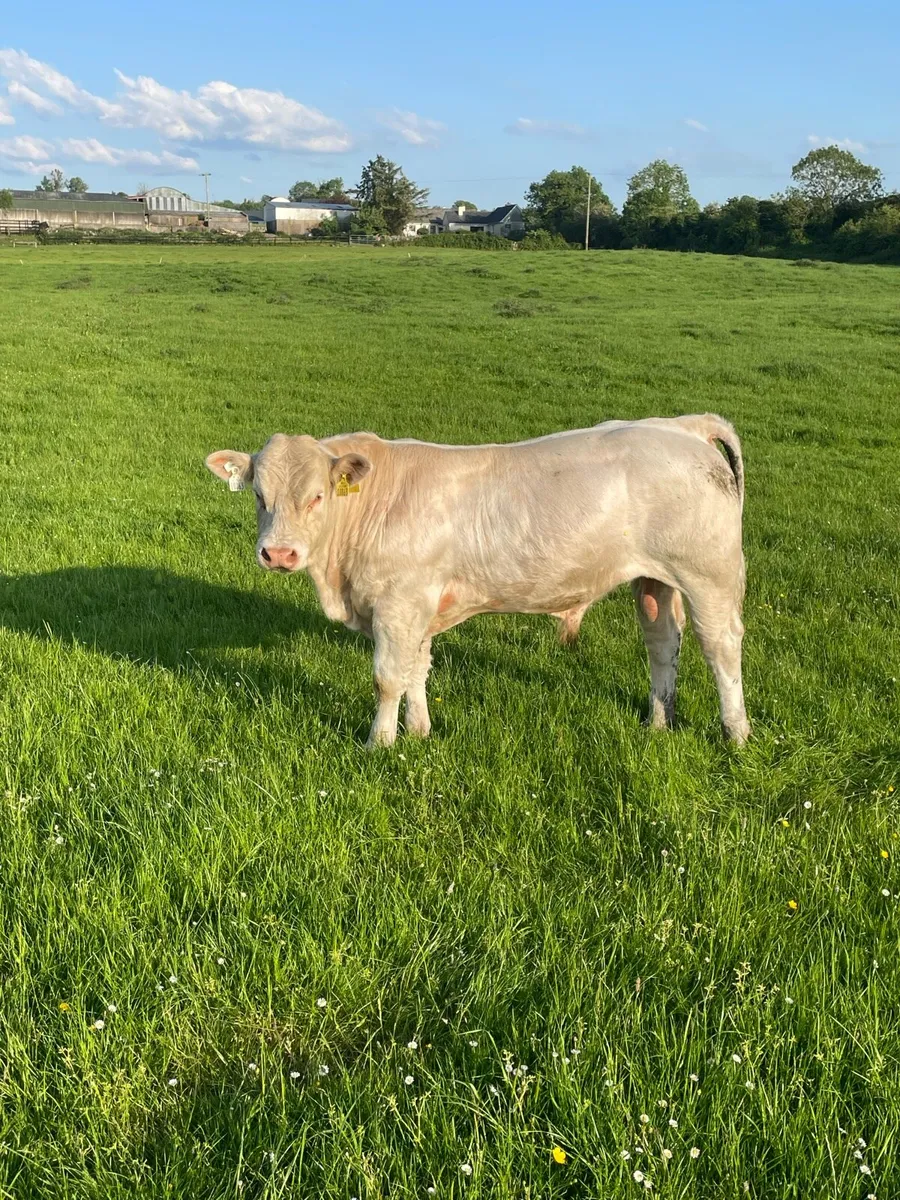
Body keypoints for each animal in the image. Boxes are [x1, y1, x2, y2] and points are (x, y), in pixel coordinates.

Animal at [206, 414, 750, 749]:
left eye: (317, 496)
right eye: (258, 494)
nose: (279, 553)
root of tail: (681, 426)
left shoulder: (399, 604)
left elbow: (388, 677)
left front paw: (378, 743)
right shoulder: (420, 605)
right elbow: (416, 671)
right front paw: (419, 732)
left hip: (708, 575)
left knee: (720, 646)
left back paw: (736, 732)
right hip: (654, 579)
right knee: (662, 642)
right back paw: (660, 723)